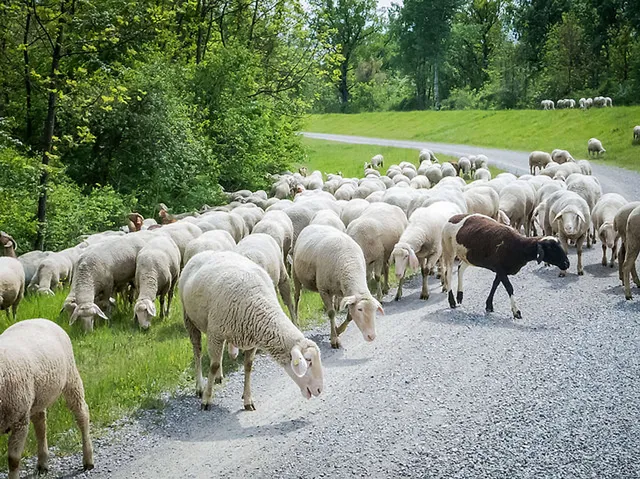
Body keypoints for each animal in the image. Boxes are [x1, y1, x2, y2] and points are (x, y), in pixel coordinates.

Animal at [0, 319, 94, 479]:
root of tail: (40, 319)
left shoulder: (20, 420)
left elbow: (13, 460)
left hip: (71, 377)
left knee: (82, 414)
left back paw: (88, 460)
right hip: (38, 398)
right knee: (41, 425)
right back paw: (42, 463)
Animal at [180, 251, 323, 410]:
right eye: (308, 361)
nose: (319, 390)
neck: (258, 303)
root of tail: (202, 253)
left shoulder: (250, 339)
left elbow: (248, 367)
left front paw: (247, 399)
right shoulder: (215, 333)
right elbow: (213, 365)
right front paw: (206, 399)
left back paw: (219, 375)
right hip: (189, 318)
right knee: (198, 352)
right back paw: (199, 386)